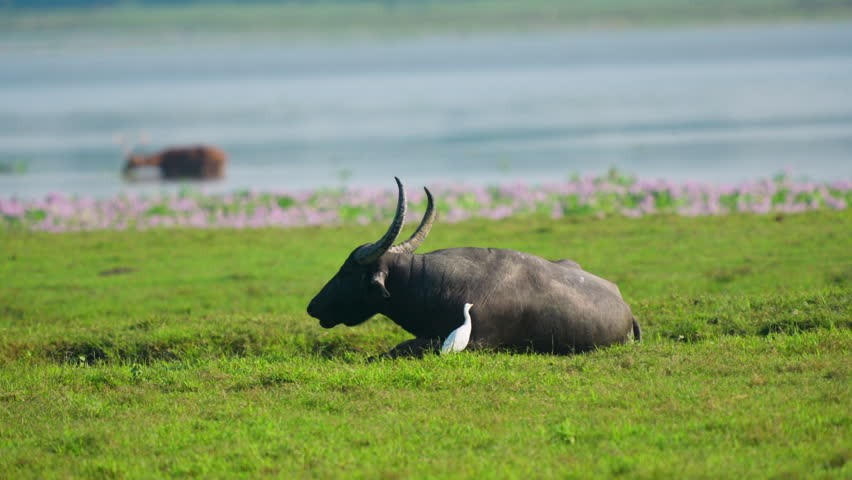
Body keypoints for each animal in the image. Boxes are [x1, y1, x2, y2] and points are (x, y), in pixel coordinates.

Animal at [307, 178, 640, 358]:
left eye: (347, 272)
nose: (312, 306)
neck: (432, 286)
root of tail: (627, 309)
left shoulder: (475, 343)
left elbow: (402, 347)